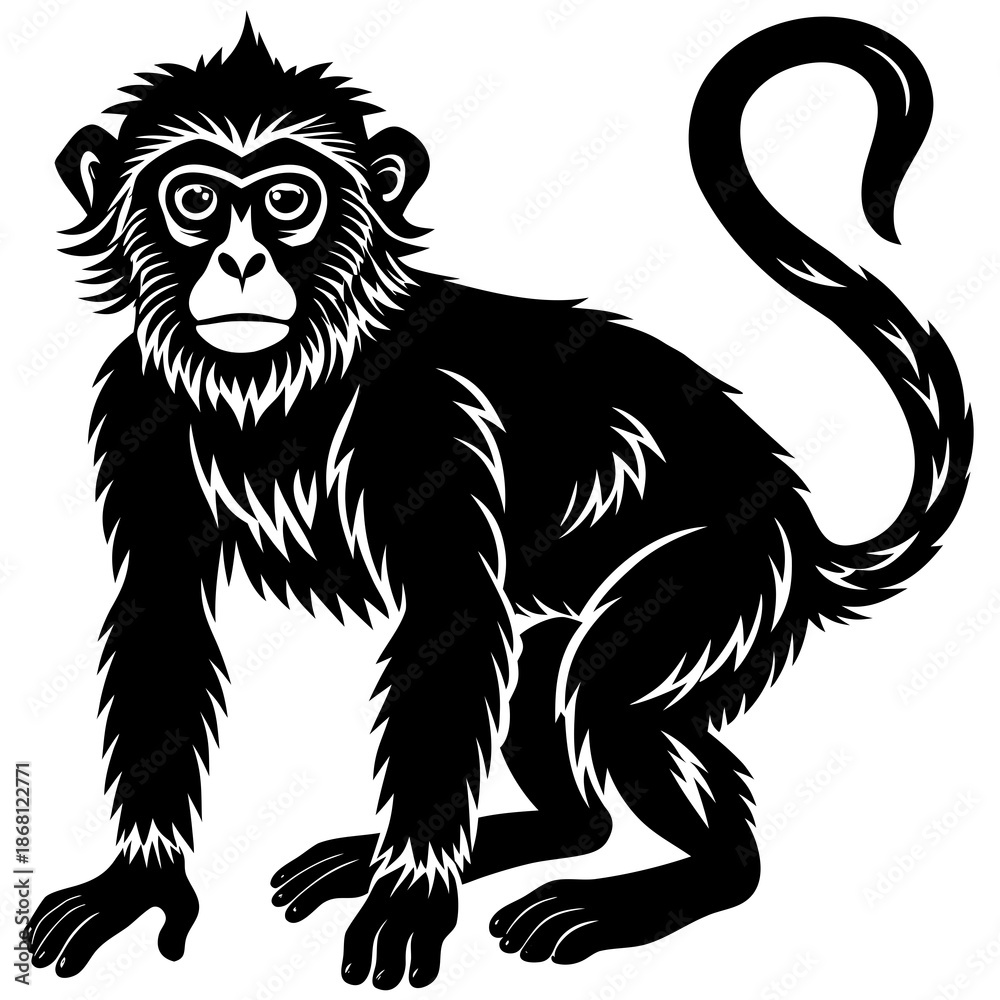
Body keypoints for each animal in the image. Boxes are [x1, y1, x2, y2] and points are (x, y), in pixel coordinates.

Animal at [27, 15, 971, 989]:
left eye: (288, 201)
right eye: (195, 200)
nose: (242, 260)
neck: (285, 377)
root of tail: (804, 529)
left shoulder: (424, 412)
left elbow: (453, 619)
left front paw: (409, 894)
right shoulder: (139, 407)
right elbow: (163, 609)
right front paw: (138, 882)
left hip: (732, 568)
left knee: (606, 694)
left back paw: (666, 885)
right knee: (555, 703)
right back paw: (520, 838)